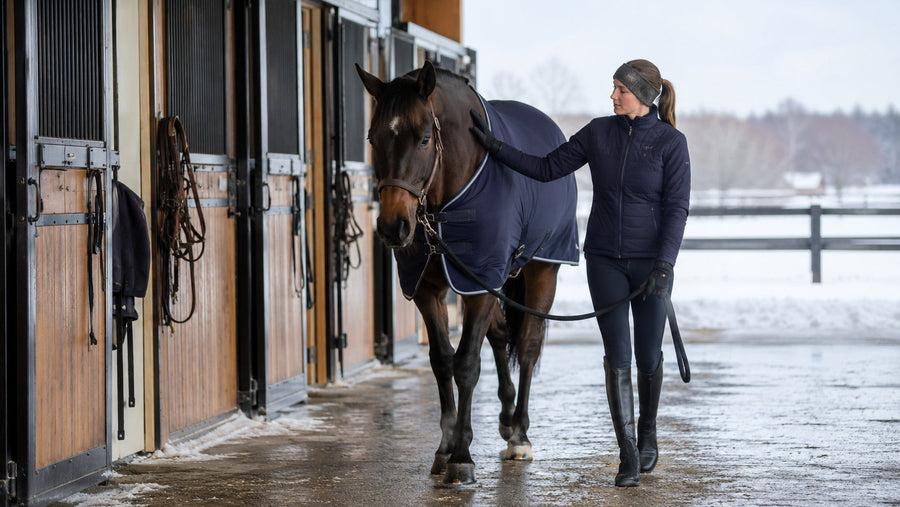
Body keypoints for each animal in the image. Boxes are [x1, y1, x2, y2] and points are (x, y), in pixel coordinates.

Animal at [356, 61, 579, 484]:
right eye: (373, 139)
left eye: (425, 139)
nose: (394, 227)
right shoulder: (429, 288)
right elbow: (442, 361)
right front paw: (445, 449)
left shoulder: (481, 283)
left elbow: (466, 364)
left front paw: (461, 458)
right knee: (501, 335)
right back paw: (506, 420)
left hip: (542, 270)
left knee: (527, 345)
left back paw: (520, 435)